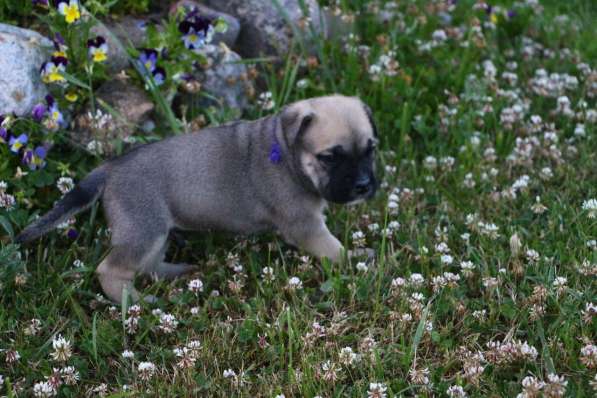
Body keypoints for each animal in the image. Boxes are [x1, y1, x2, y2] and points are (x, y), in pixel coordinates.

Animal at [17, 95, 378, 304]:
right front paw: (354, 259)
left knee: (147, 265)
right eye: (330, 157)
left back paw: (175, 272)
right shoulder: (306, 226)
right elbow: (334, 249)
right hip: (144, 230)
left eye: (370, 149)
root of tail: (110, 168)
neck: (288, 153)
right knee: (111, 269)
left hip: (155, 231)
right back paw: (135, 302)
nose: (363, 185)